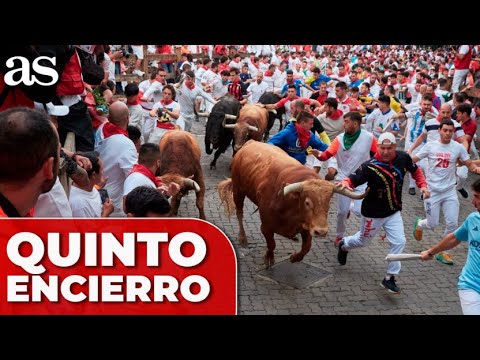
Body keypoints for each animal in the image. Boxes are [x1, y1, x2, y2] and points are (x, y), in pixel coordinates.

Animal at [218, 141, 368, 268]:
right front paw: (269, 258)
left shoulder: (308, 226)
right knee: (239, 213)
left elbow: (306, 248)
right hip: (238, 190)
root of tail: (249, 143)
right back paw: (242, 237)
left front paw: (294, 257)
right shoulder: (266, 226)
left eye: (328, 204)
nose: (321, 231)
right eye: (307, 202)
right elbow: (271, 244)